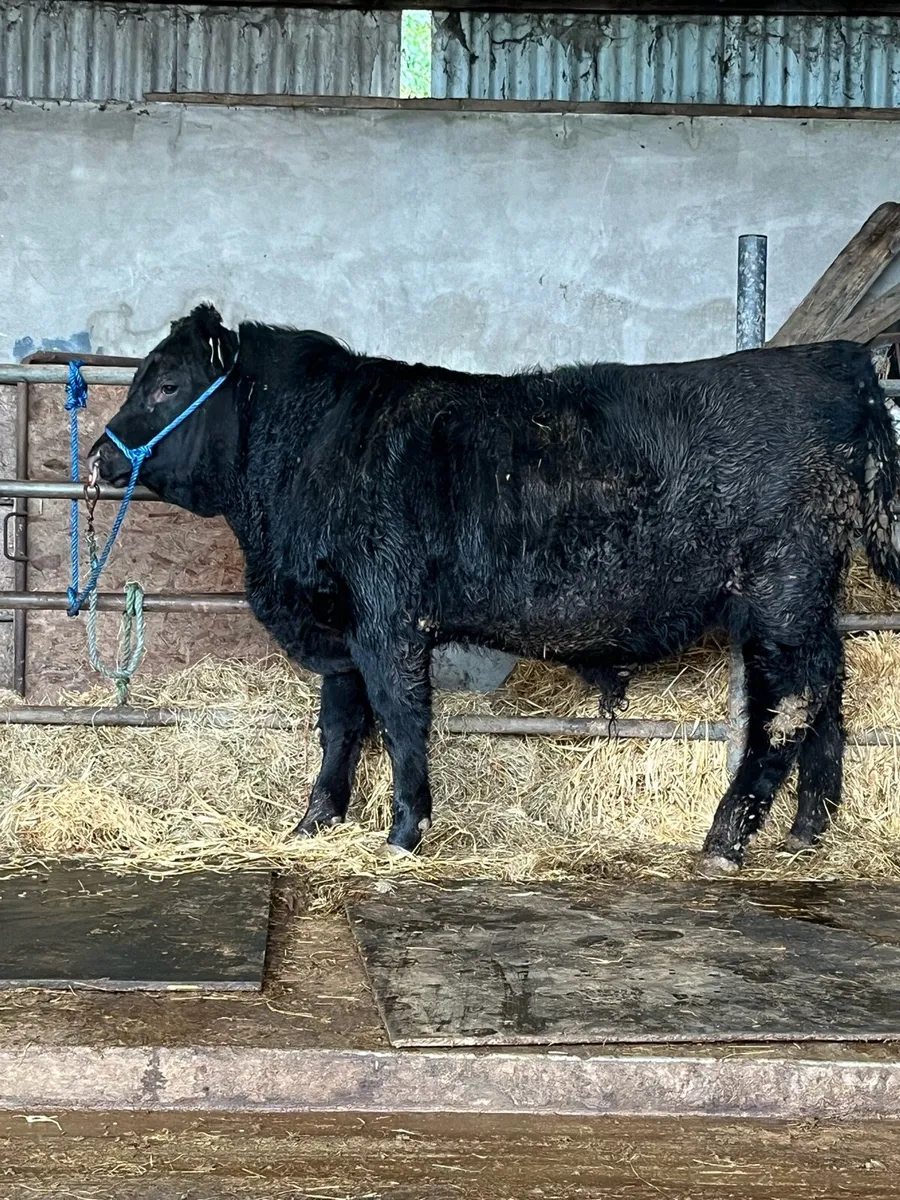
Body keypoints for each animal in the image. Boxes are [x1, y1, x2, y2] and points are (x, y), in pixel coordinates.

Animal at [90, 305, 900, 873]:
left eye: (168, 383)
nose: (99, 454)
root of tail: (839, 361)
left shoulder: (389, 617)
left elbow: (400, 717)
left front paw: (404, 832)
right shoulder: (340, 622)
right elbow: (340, 724)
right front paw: (314, 824)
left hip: (779, 592)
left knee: (789, 704)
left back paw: (726, 840)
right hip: (807, 602)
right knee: (828, 692)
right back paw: (807, 831)